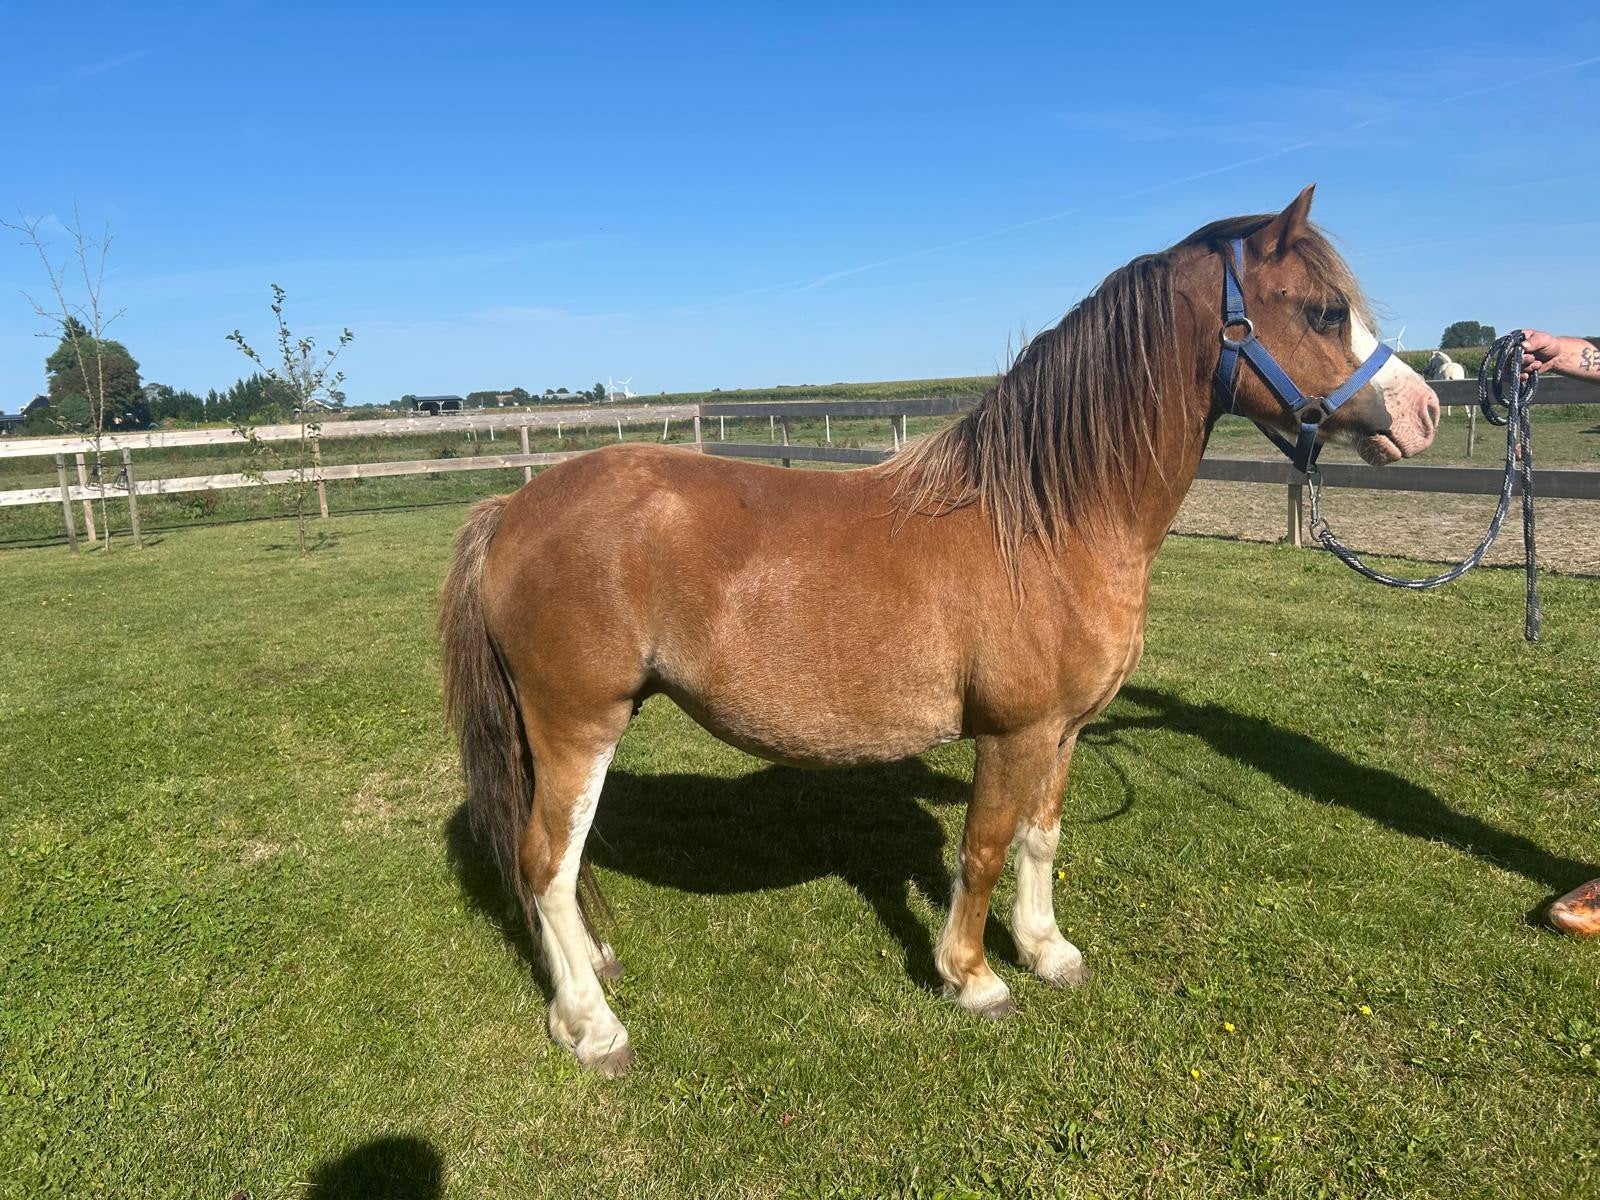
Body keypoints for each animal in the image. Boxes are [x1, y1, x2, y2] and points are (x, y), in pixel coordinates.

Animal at [440, 185, 1440, 1076]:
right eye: (1323, 311)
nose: (1424, 412)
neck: (1047, 521)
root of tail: (513, 507)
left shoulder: (1062, 733)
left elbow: (1042, 839)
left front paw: (1047, 951)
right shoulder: (1012, 732)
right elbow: (985, 849)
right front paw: (973, 978)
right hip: (579, 723)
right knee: (546, 863)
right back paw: (592, 1027)